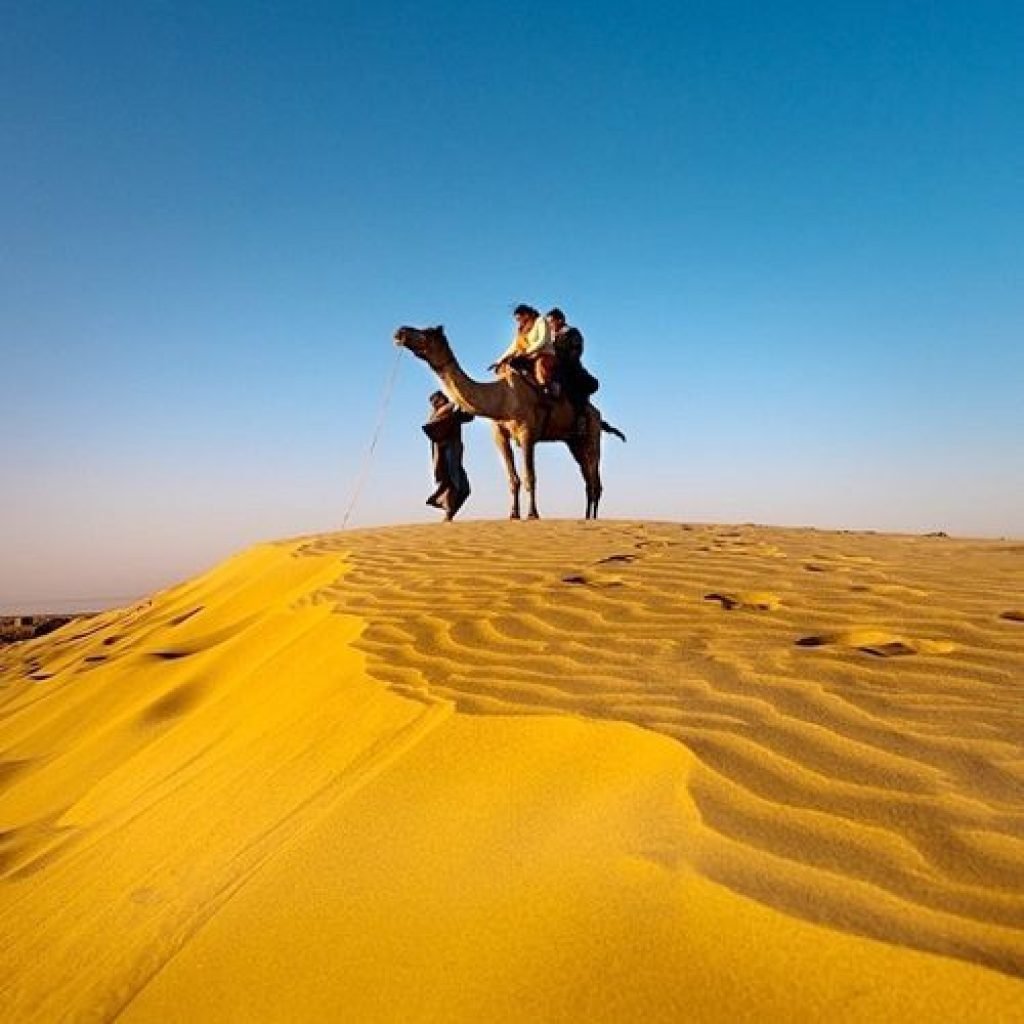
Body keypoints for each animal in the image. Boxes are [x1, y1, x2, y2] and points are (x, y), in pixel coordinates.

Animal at [395, 327, 622, 520]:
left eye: (426, 332)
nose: (400, 332)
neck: (503, 398)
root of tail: (598, 416)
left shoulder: (526, 433)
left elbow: (530, 477)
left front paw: (532, 515)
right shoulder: (499, 435)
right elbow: (513, 479)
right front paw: (513, 514)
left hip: (592, 436)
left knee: (593, 477)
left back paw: (592, 519)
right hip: (574, 442)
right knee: (589, 478)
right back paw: (587, 517)